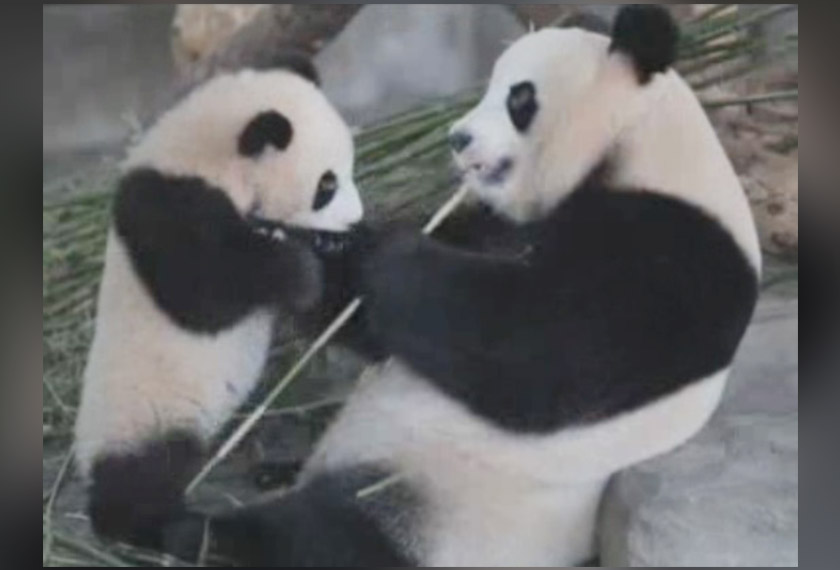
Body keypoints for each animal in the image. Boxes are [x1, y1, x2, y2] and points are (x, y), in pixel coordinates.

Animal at [72, 60, 365, 551]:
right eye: (326, 184)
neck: (200, 157)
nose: (355, 219)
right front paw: (298, 269)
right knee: (142, 478)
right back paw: (170, 528)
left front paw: (329, 250)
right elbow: (203, 295)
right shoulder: (168, 206)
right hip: (142, 415)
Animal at [164, 6, 761, 567]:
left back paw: (199, 536)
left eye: (520, 97)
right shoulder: (502, 224)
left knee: (327, 539)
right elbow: (387, 326)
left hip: (442, 507)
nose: (457, 138)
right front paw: (303, 240)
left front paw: (377, 250)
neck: (645, 146)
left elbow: (533, 353)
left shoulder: (673, 257)